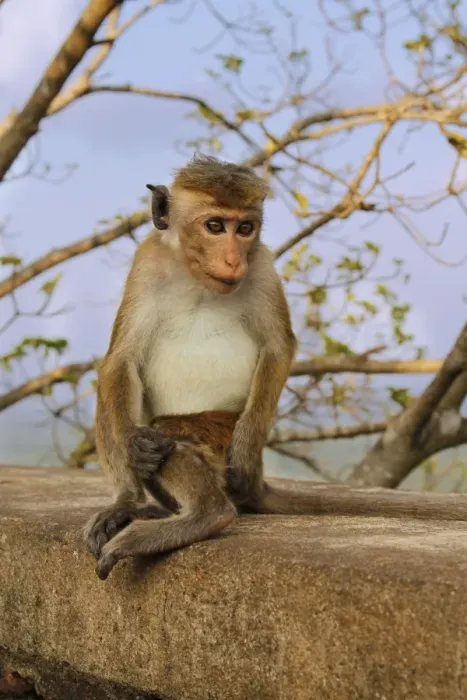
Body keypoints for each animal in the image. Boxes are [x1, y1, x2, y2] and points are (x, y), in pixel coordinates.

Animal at [83, 154, 467, 580]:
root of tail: (258, 482)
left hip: (222, 440)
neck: (197, 279)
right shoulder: (147, 262)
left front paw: (242, 448)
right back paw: (135, 505)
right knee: (122, 402)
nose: (234, 258)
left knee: (169, 435)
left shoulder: (262, 265)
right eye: (214, 226)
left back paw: (205, 514)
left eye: (245, 228)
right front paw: (129, 472)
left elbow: (278, 348)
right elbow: (121, 359)